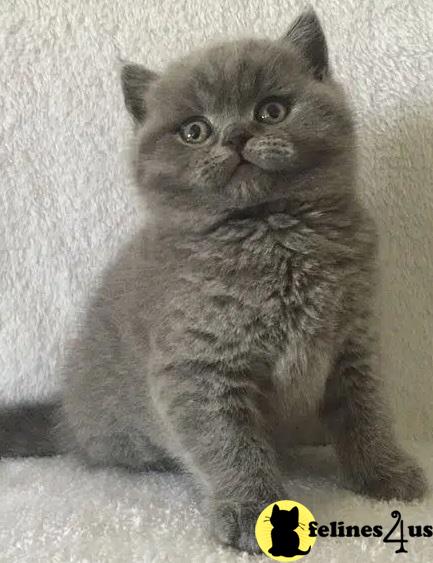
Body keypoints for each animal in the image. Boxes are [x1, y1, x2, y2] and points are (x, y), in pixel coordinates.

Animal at [0, 8, 426, 556]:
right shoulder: (198, 363)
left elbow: (365, 410)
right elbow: (227, 441)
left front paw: (385, 473)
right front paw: (252, 511)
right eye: (194, 131)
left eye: (271, 110)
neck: (271, 232)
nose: (237, 135)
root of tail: (63, 418)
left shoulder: (354, 340)